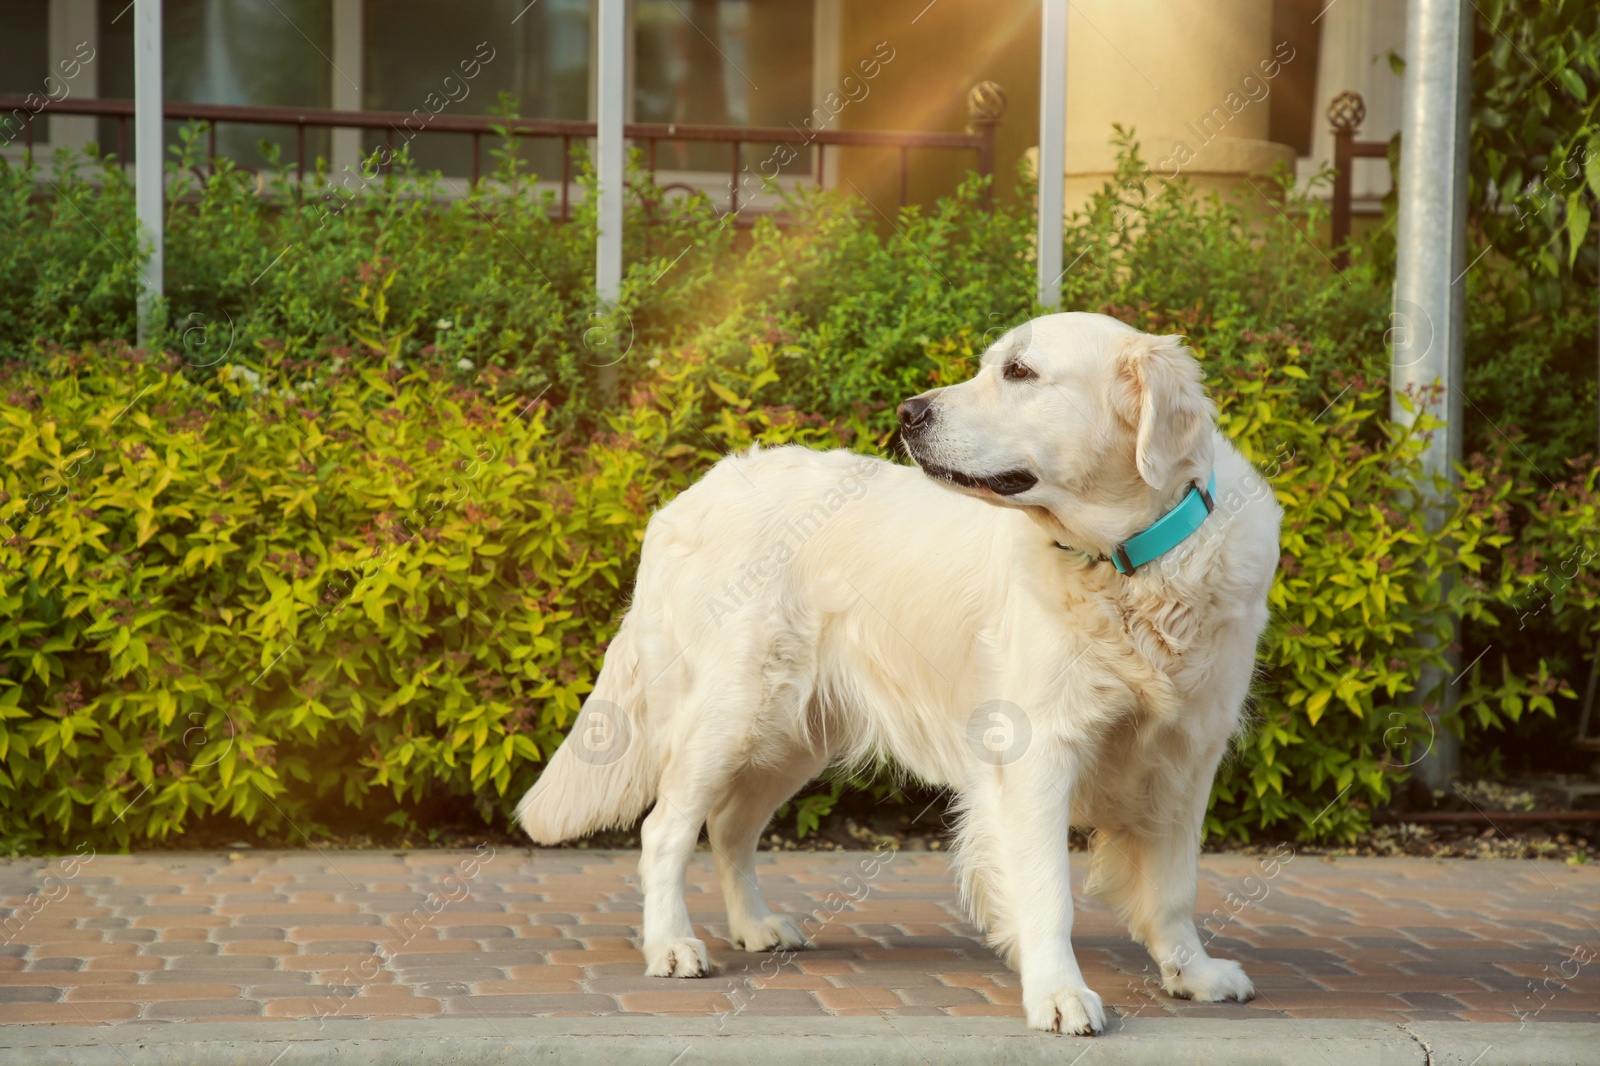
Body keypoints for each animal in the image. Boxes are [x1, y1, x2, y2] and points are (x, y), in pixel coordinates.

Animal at [518, 308, 1280, 1030]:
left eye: (1021, 372)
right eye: (991, 365)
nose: (908, 412)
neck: (1131, 565)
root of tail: (690, 494)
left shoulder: (1188, 753)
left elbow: (1176, 886)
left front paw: (1193, 972)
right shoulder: (1038, 750)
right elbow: (1047, 893)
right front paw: (1060, 995)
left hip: (793, 732)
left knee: (730, 826)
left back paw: (755, 925)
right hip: (731, 710)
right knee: (666, 830)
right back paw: (672, 945)